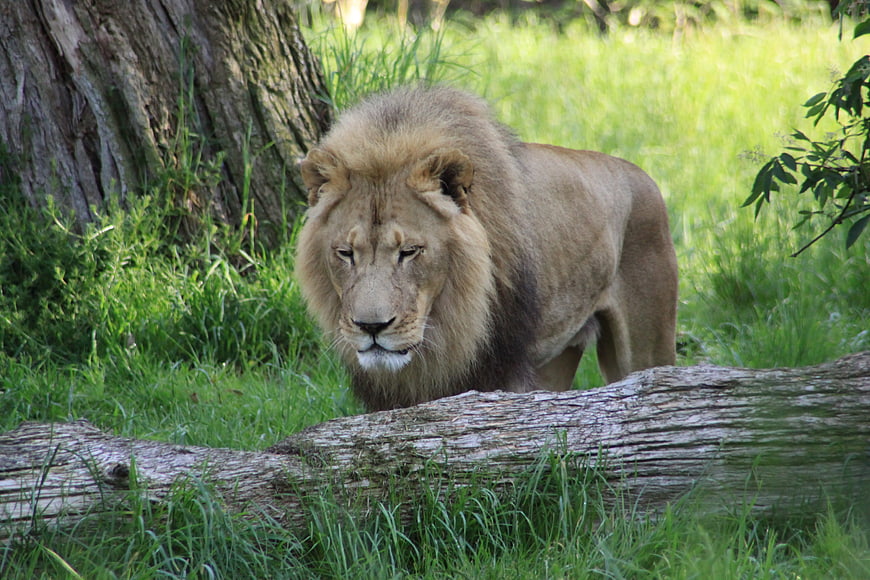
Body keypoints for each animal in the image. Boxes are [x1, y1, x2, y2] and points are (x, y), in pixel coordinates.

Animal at [295, 86, 678, 411]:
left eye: (410, 251)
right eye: (346, 253)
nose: (370, 327)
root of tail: (643, 175)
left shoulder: (502, 372)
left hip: (647, 342)